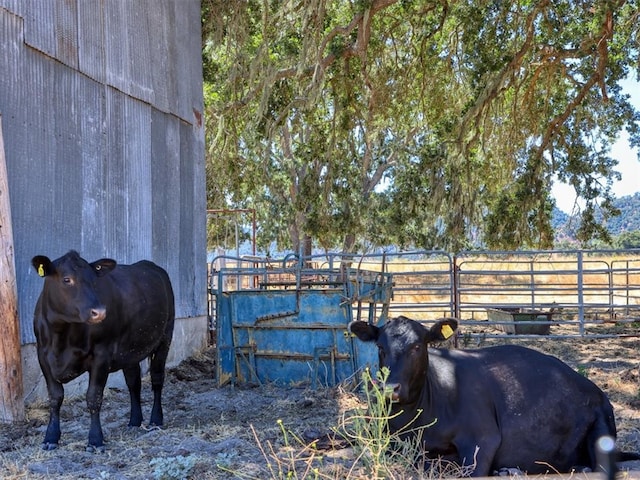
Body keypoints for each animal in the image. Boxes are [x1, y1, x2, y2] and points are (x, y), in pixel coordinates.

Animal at [31, 249, 174, 452]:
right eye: (67, 279)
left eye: (94, 281)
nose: (99, 312)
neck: (60, 337)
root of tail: (150, 265)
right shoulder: (43, 356)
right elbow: (55, 397)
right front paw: (51, 437)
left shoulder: (101, 355)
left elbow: (94, 397)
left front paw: (95, 440)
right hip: (130, 350)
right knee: (134, 383)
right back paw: (134, 421)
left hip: (165, 337)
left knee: (157, 378)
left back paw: (155, 420)